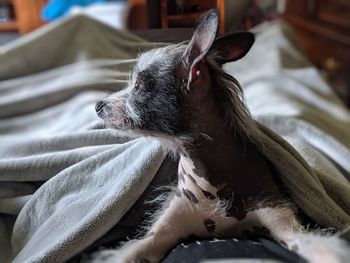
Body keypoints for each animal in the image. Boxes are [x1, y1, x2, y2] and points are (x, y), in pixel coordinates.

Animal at [91, 9, 348, 262]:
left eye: (138, 86)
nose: (98, 105)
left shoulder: (284, 223)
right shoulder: (165, 231)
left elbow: (326, 253)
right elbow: (132, 252)